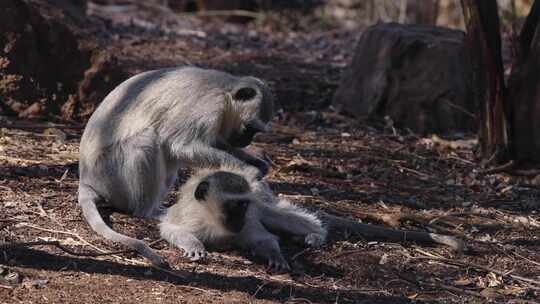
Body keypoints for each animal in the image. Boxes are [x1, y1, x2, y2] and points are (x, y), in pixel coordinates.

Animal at [76, 66, 274, 266]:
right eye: (249, 128)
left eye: (255, 131)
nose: (246, 141)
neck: (225, 92)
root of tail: (86, 177)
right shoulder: (209, 109)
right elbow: (180, 146)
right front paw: (249, 170)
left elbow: (214, 142)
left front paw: (257, 163)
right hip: (110, 175)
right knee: (147, 141)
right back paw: (150, 211)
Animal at [159, 164, 330, 270]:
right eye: (235, 205)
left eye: (245, 205)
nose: (240, 219)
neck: (213, 221)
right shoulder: (189, 216)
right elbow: (169, 227)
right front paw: (194, 245)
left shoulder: (249, 220)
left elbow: (264, 238)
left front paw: (275, 255)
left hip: (261, 199)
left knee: (279, 215)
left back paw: (316, 235)